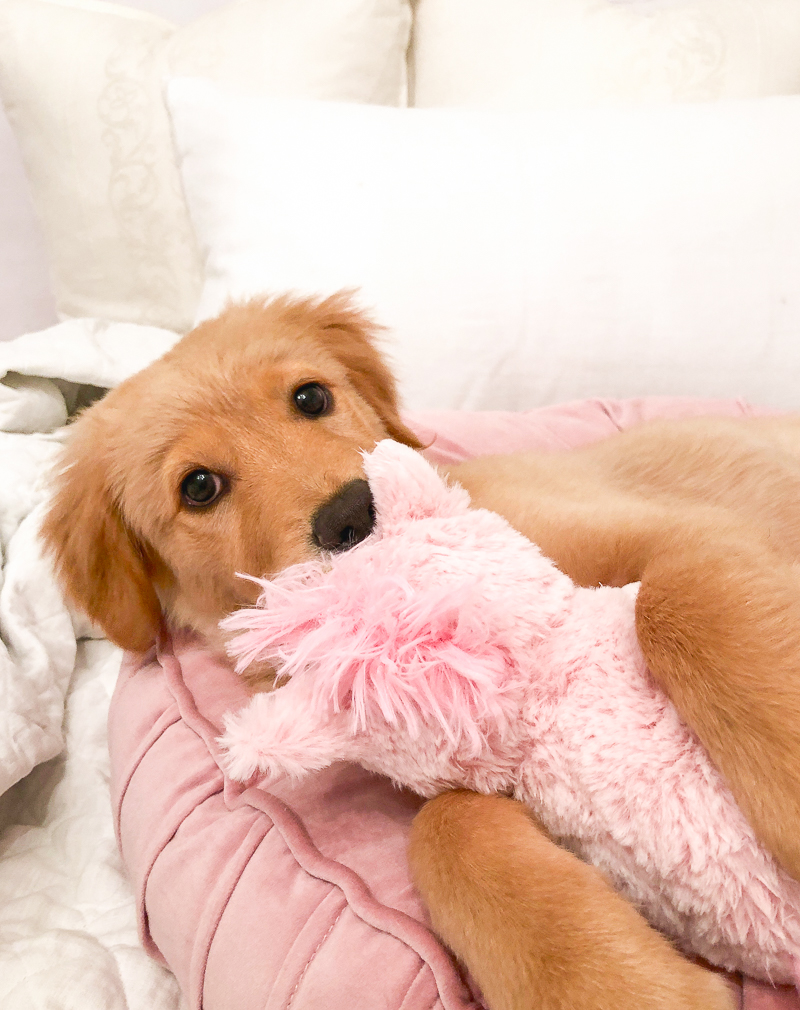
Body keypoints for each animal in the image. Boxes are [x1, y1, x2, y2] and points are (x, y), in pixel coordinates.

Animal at [43, 288, 800, 1005]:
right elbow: (444, 824)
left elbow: (674, 597)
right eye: (198, 486)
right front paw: (611, 982)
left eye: (310, 397)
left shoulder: (692, 531)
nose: (354, 512)